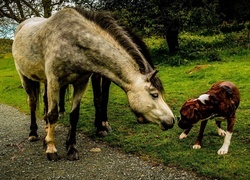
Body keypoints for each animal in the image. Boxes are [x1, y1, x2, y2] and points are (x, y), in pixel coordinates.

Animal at [12, 7, 175, 161]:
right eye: (154, 94)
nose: (172, 121)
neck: (72, 41)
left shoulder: (81, 83)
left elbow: (74, 115)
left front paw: (71, 148)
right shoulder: (55, 81)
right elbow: (53, 115)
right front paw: (51, 149)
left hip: (46, 82)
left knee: (45, 100)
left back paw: (46, 131)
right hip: (26, 78)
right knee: (32, 102)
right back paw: (33, 133)